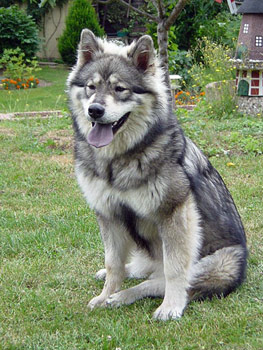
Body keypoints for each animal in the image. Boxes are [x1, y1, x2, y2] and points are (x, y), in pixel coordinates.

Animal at [67, 29, 249, 320]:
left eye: (120, 89)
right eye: (91, 87)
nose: (94, 110)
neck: (119, 160)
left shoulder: (174, 213)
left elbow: (174, 270)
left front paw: (171, 307)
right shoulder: (109, 214)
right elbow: (113, 264)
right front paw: (105, 294)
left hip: (217, 263)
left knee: (158, 281)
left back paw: (126, 296)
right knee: (142, 271)